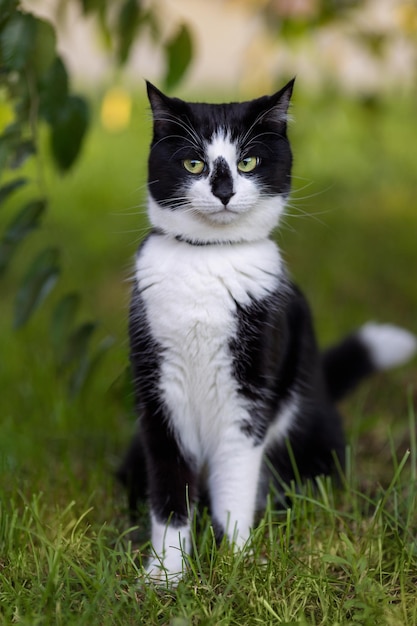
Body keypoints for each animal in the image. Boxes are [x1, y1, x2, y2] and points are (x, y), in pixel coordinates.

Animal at [118, 80, 416, 584]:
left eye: (248, 162)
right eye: (194, 163)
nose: (223, 191)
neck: (209, 260)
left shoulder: (251, 391)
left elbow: (236, 477)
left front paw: (235, 561)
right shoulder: (158, 393)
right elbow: (170, 486)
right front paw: (165, 574)